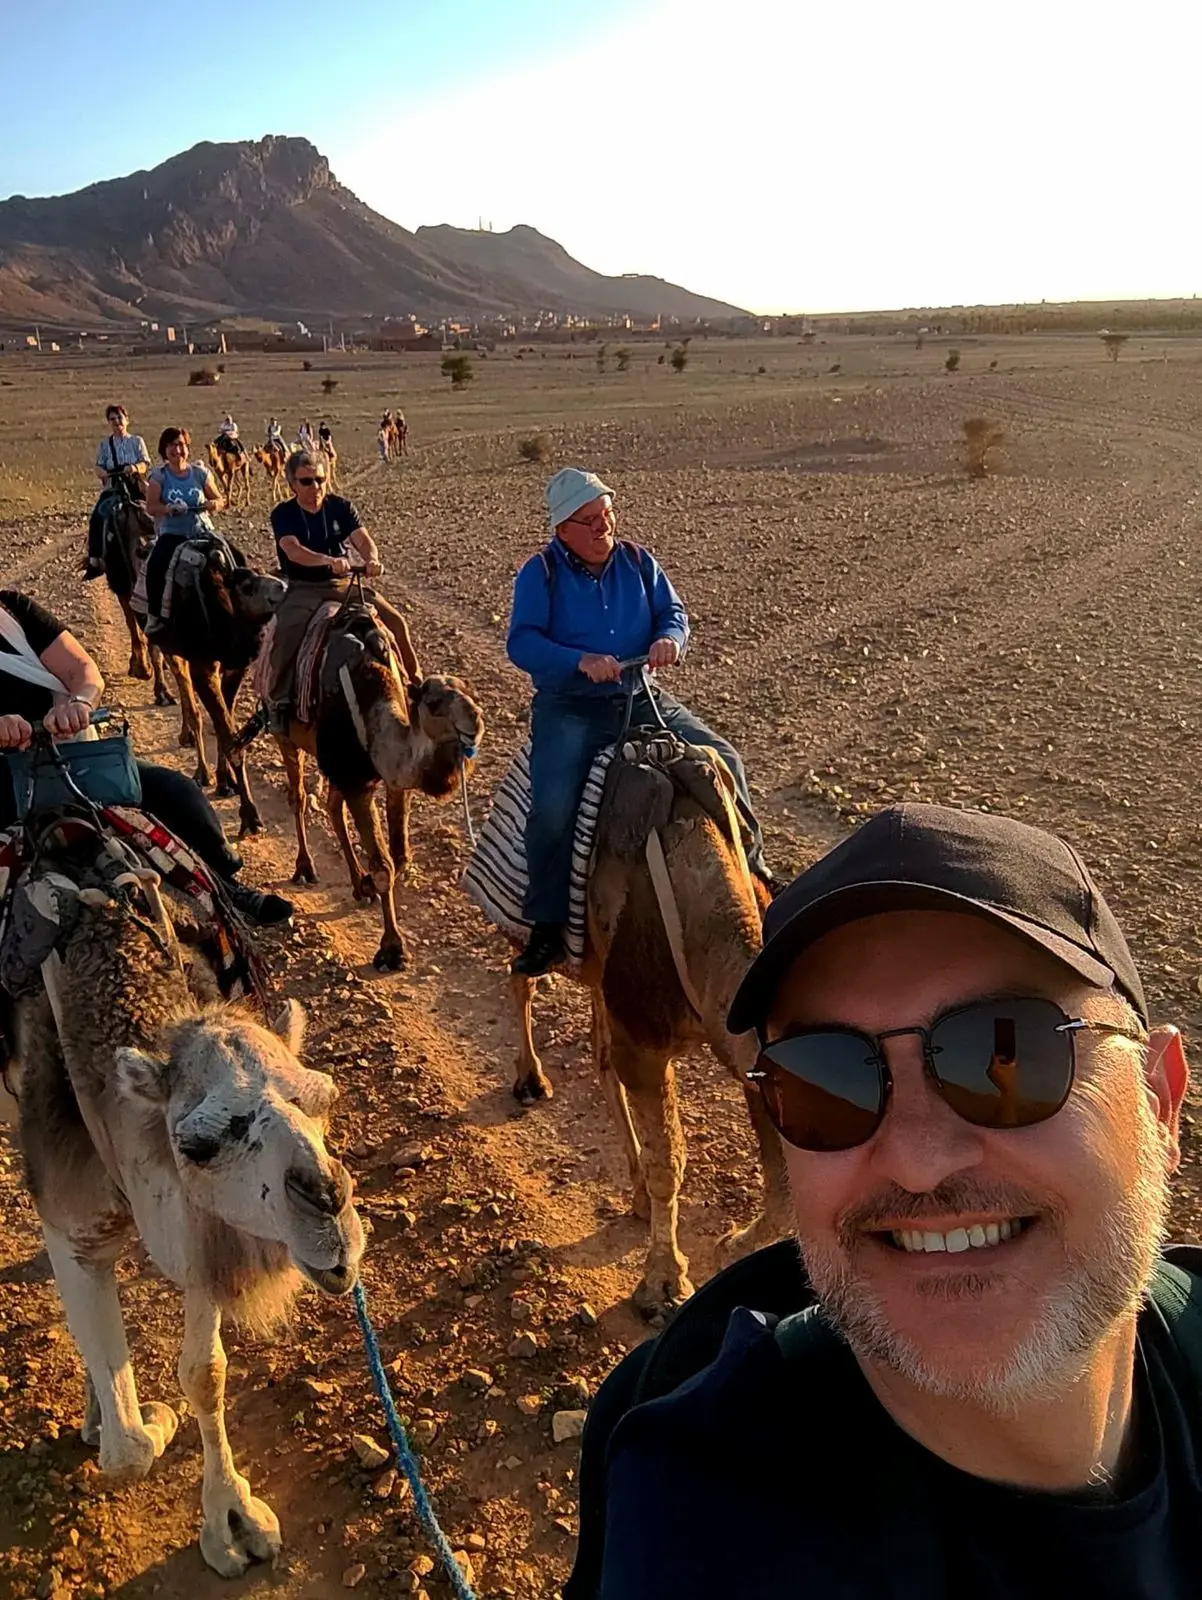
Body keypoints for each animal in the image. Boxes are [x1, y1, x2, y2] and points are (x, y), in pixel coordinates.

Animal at [12, 844, 361, 1580]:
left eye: (324, 1097)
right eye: (197, 1145)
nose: (329, 1214)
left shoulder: (202, 1230)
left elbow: (206, 1373)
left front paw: (233, 1519)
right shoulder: (69, 1218)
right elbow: (129, 1452)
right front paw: (152, 1418)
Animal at [276, 601, 483, 966]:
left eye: (469, 692)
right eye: (434, 703)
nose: (476, 719)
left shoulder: (389, 781)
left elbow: (398, 858)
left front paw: (371, 887)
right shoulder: (357, 782)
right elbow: (385, 866)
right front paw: (392, 949)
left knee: (332, 808)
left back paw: (359, 883)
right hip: (287, 736)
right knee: (298, 796)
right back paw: (305, 867)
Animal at [508, 732, 790, 1312]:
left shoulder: (743, 1049)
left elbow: (779, 1177)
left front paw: (736, 1242)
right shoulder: (645, 1038)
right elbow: (671, 1162)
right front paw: (662, 1283)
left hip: (599, 969)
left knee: (600, 1054)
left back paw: (634, 1190)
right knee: (520, 977)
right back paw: (530, 1079)